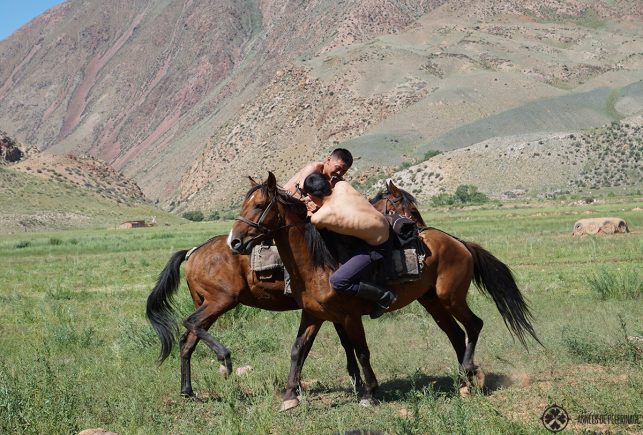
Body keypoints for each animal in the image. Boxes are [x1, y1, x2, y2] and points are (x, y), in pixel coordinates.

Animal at [229, 172, 540, 410]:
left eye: (259, 205)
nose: (234, 241)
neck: (317, 262)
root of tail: (458, 242)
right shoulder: (313, 315)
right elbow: (297, 351)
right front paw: (290, 396)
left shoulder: (350, 317)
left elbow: (362, 351)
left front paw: (369, 392)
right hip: (433, 302)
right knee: (455, 334)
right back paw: (467, 381)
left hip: (451, 298)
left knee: (474, 325)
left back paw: (468, 372)